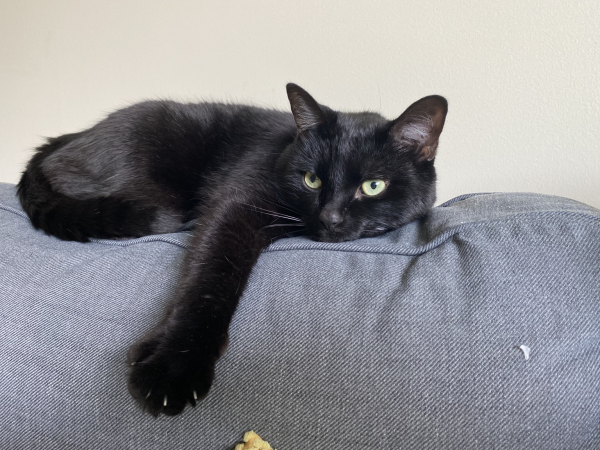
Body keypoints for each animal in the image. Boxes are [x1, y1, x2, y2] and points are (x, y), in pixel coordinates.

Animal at [17, 83, 446, 414]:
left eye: (373, 186)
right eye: (311, 179)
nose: (330, 217)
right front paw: (174, 369)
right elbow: (208, 280)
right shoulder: (234, 207)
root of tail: (67, 139)